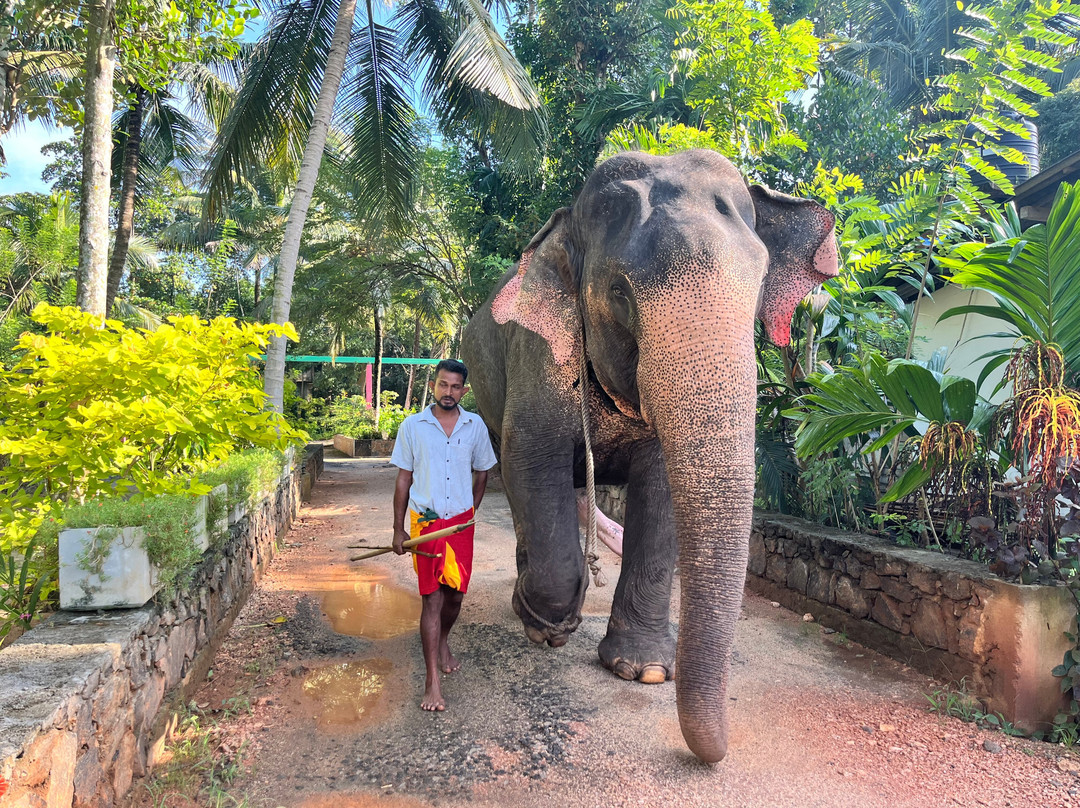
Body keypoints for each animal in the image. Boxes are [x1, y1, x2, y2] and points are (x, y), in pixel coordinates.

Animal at [460, 149, 837, 763]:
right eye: (619, 291)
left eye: (760, 286)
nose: (713, 755)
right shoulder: (537, 353)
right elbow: (531, 458)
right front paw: (545, 625)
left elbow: (659, 492)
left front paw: (644, 672)